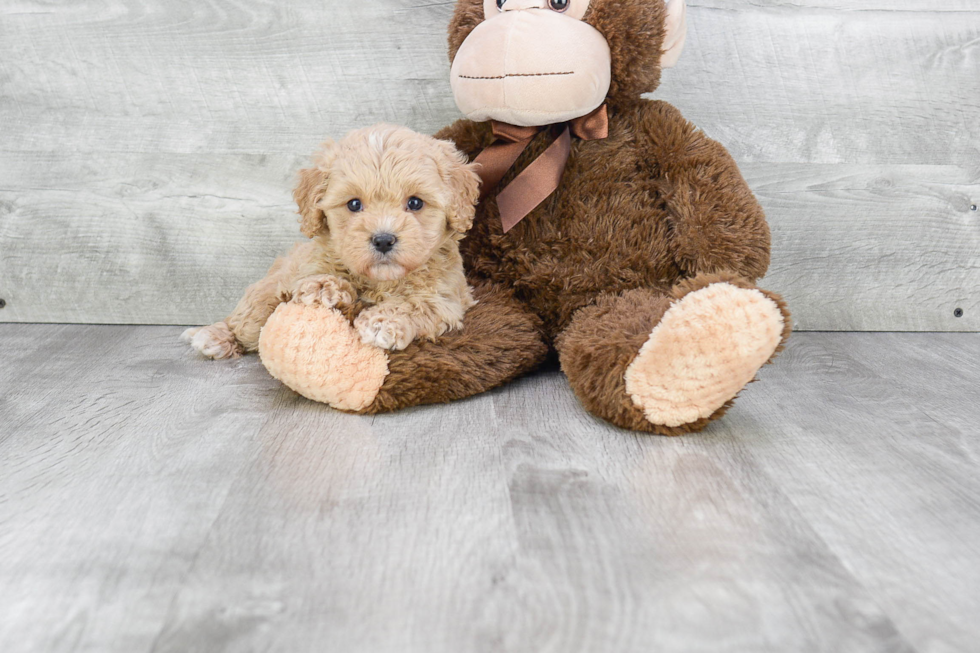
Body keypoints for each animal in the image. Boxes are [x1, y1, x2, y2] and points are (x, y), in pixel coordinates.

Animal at [183, 125, 482, 360]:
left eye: (416, 203)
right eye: (354, 204)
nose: (383, 240)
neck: (380, 281)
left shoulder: (447, 299)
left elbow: (416, 304)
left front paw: (381, 322)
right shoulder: (305, 267)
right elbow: (314, 277)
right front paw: (323, 287)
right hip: (265, 292)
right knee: (246, 320)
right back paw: (214, 336)